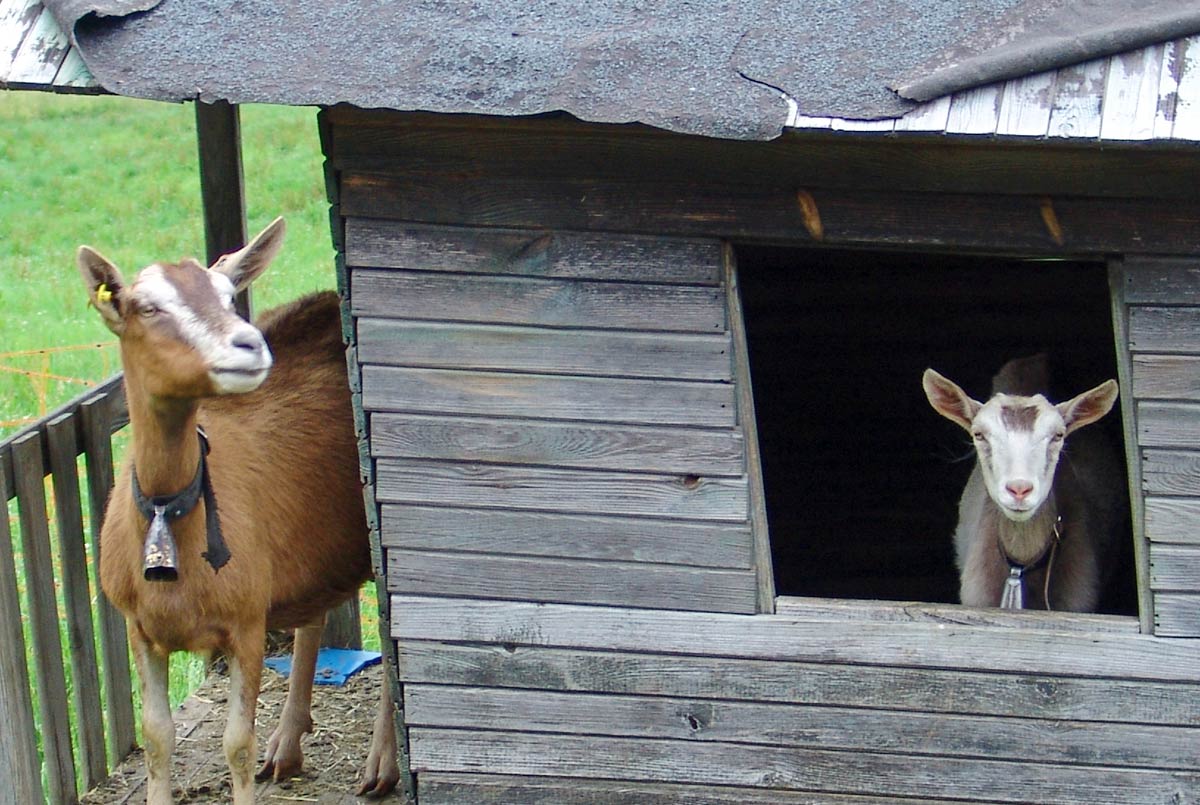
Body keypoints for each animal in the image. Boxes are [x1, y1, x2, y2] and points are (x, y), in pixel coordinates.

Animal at [79, 218, 399, 804]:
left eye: (229, 297)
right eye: (147, 307)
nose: (249, 344)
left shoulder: (246, 620)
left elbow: (236, 744)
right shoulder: (139, 626)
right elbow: (156, 738)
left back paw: (382, 762)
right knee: (316, 611)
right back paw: (289, 741)